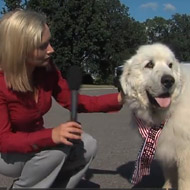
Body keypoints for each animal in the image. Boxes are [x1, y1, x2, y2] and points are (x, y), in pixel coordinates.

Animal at [121, 43, 190, 190]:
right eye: (149, 64)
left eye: (170, 65)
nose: (169, 80)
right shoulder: (167, 145)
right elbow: (169, 172)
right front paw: (167, 186)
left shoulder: (185, 152)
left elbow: (184, 180)